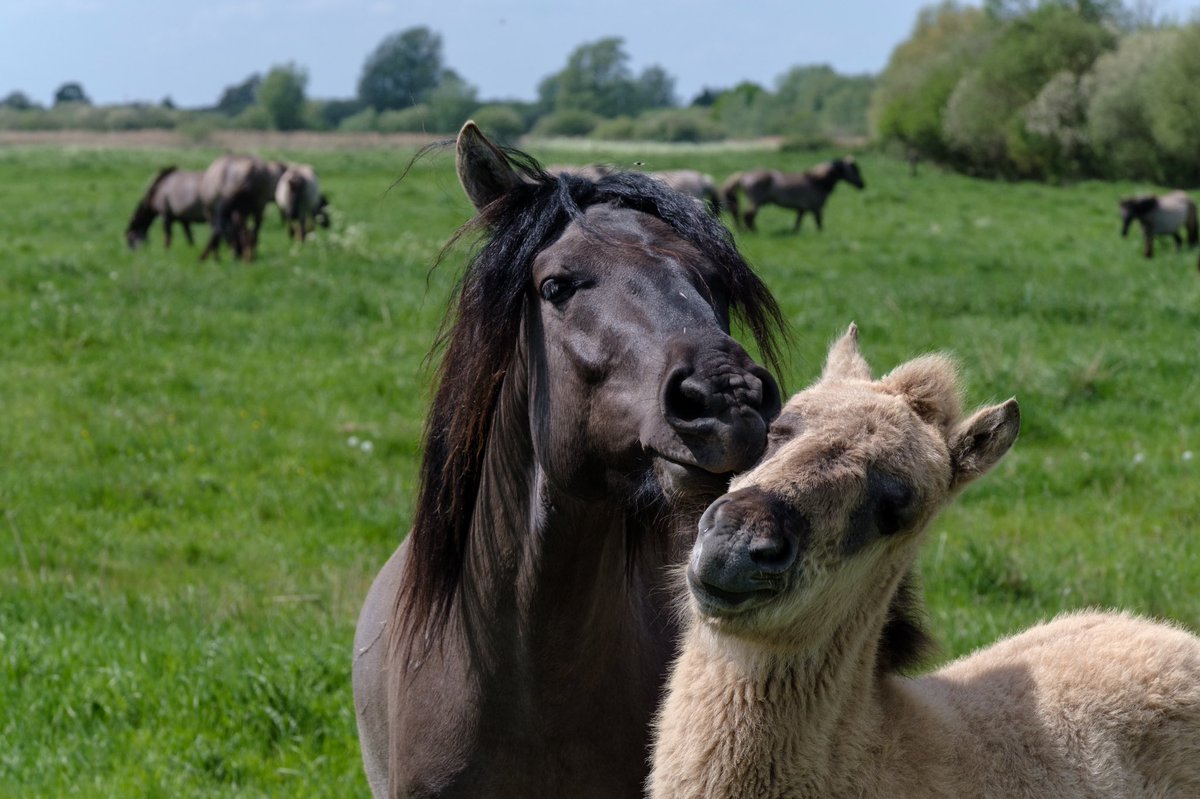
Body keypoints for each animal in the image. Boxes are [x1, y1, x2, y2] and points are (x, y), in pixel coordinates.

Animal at [720, 156, 865, 233]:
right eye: (854, 169)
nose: (862, 185)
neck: (816, 181)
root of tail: (744, 175)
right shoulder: (817, 208)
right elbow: (819, 224)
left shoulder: (802, 209)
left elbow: (797, 224)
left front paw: (795, 232)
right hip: (756, 201)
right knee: (748, 216)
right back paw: (754, 231)